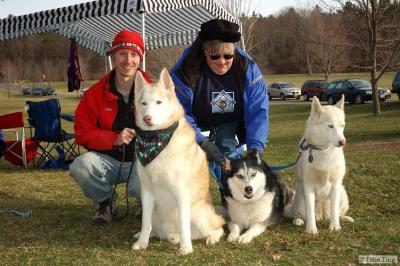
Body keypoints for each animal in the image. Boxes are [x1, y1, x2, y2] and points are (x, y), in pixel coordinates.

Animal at [131, 68, 225, 254]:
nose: (147, 118)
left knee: (218, 228)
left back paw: (209, 238)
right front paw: (142, 243)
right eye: (144, 103)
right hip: (157, 215)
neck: (157, 141)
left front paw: (186, 248)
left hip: (198, 213)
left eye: (159, 102)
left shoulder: (181, 192)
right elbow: (145, 223)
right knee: (155, 228)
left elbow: (183, 224)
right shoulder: (147, 192)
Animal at [290, 96, 354, 235]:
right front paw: (311, 228)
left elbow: (334, 210)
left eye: (342, 126)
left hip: (342, 193)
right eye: (330, 126)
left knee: (337, 212)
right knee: (299, 213)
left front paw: (335, 226)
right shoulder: (308, 185)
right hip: (300, 198)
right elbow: (310, 211)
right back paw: (298, 220)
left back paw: (343, 218)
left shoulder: (335, 184)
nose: (343, 142)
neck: (323, 150)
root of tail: (323, 215)